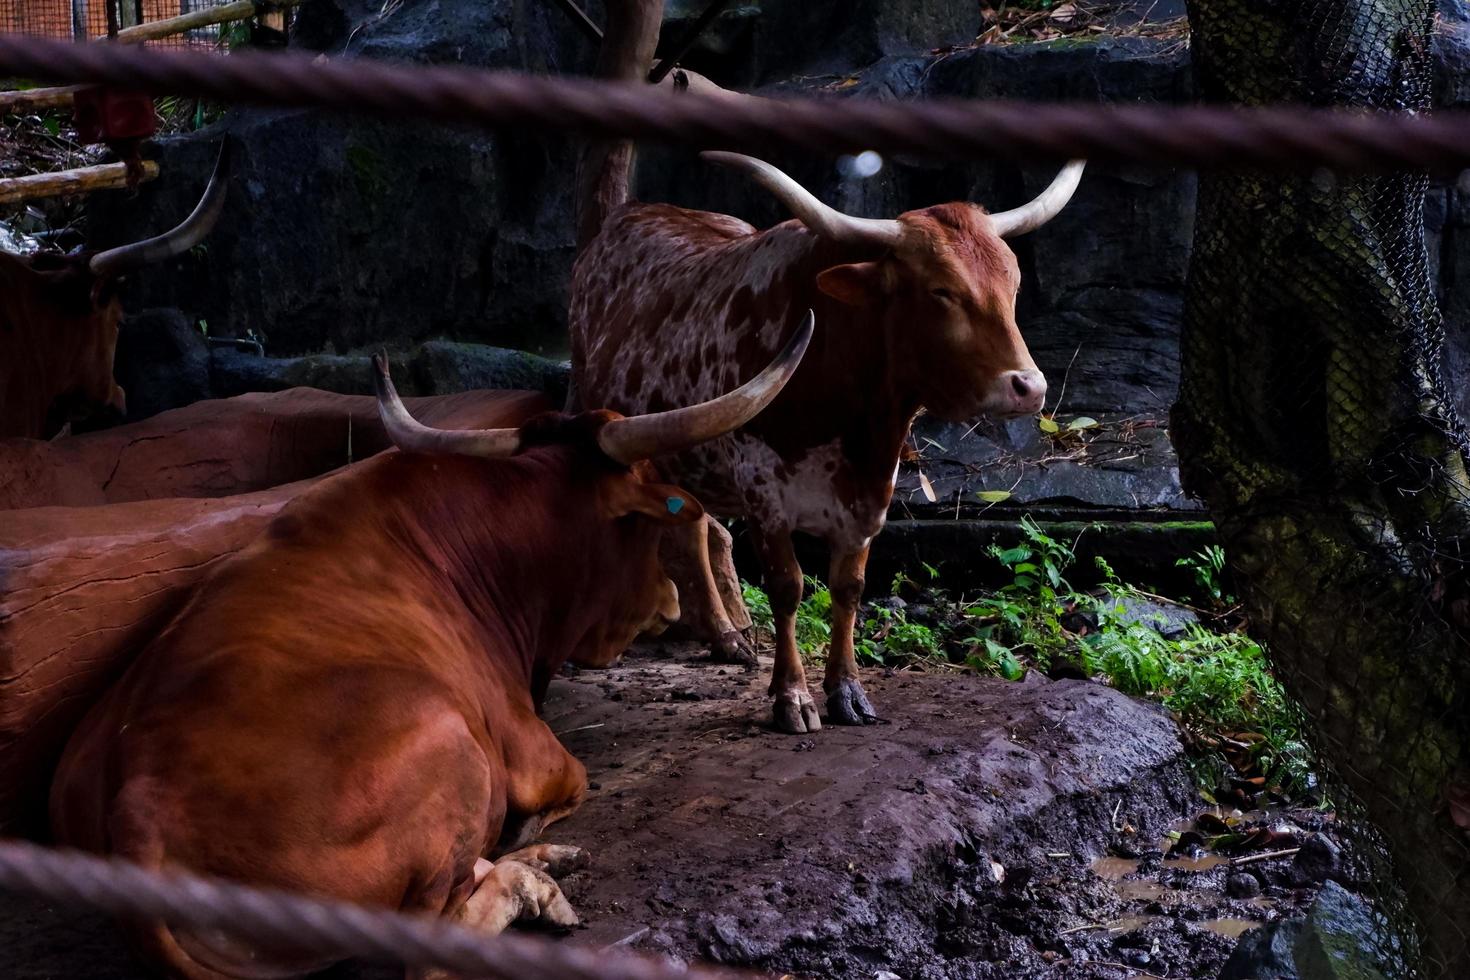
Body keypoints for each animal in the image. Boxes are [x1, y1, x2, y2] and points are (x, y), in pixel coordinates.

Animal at [48, 315, 805, 980]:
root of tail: (137, 813)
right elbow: (564, 785)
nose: (669, 602)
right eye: (645, 521)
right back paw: (535, 881)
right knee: (428, 945)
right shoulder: (537, 755)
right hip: (452, 748)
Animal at [567, 0, 1087, 734]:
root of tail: (628, 216)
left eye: (1012, 283)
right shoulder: (765, 491)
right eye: (942, 291)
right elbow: (789, 587)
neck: (856, 416)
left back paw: (728, 634)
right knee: (686, 528)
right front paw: (792, 696)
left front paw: (846, 689)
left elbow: (849, 587)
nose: (1028, 386)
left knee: (697, 525)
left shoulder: (870, 498)